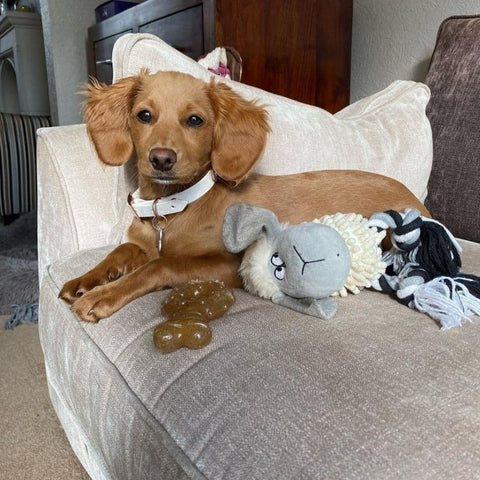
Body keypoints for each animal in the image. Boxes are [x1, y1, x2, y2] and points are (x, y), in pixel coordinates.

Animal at [58, 69, 430, 320]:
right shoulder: (141, 244)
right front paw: (86, 279)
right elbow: (121, 251)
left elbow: (161, 265)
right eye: (144, 115)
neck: (174, 209)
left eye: (195, 120)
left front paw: (103, 295)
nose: (161, 159)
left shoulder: (231, 264)